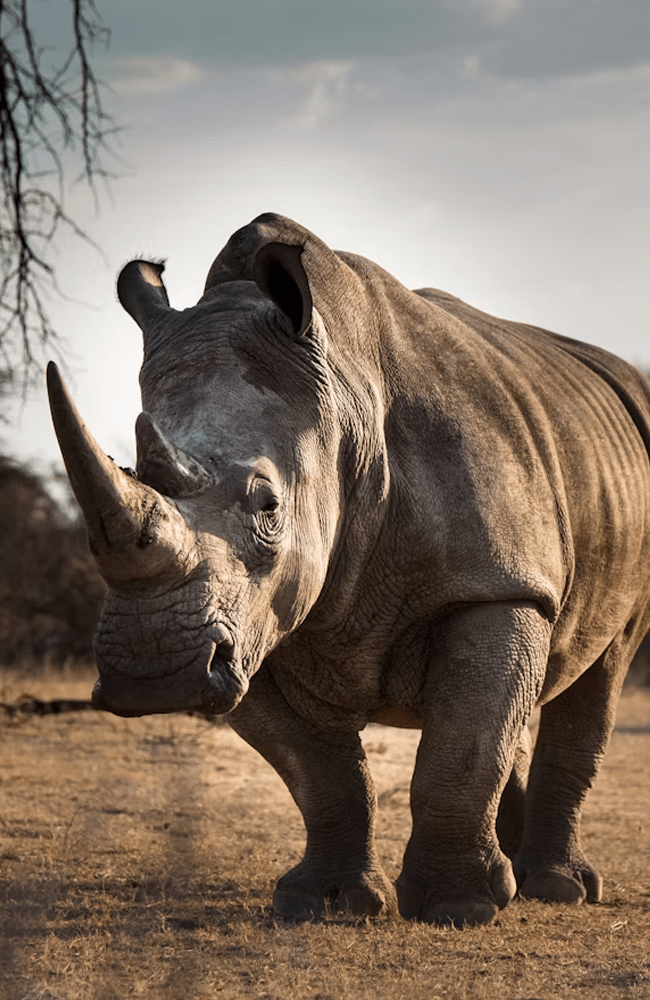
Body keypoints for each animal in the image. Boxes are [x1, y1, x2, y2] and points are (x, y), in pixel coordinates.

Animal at [48, 213, 650, 928]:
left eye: (269, 506)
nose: (154, 674)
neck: (343, 406)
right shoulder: (252, 629)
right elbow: (322, 773)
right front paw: (326, 903)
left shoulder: (495, 585)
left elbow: (461, 749)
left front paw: (459, 908)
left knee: (602, 668)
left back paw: (557, 888)